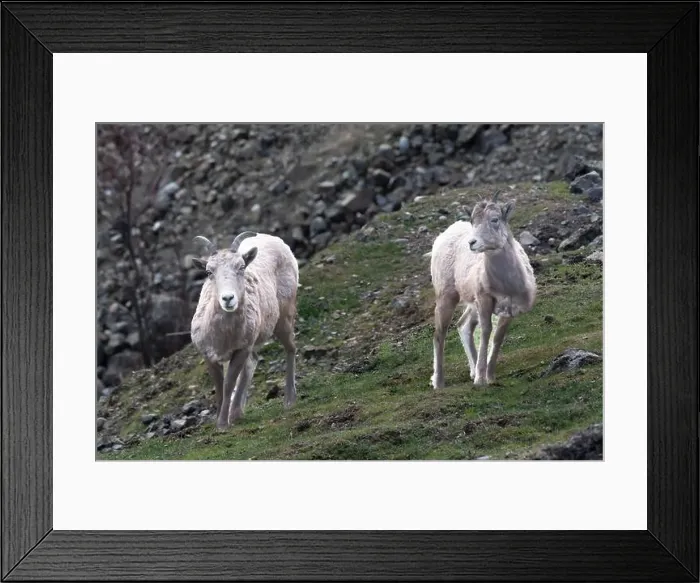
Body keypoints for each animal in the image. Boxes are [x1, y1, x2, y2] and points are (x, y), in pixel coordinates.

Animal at [190, 231, 299, 429]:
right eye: (209, 272)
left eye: (241, 267)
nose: (228, 299)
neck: (223, 335)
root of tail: (275, 239)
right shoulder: (209, 355)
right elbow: (219, 387)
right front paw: (221, 420)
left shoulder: (241, 350)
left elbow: (228, 384)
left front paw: (222, 424)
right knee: (252, 362)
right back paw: (237, 413)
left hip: (284, 319)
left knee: (290, 348)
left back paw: (289, 400)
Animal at [429, 191, 536, 388]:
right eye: (473, 221)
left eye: (495, 219)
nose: (472, 243)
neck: (505, 284)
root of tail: (442, 237)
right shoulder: (484, 300)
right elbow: (486, 332)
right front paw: (480, 380)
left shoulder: (509, 310)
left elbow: (498, 337)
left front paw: (490, 376)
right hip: (447, 297)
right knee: (439, 334)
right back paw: (439, 383)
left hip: (472, 305)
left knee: (463, 325)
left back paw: (471, 372)